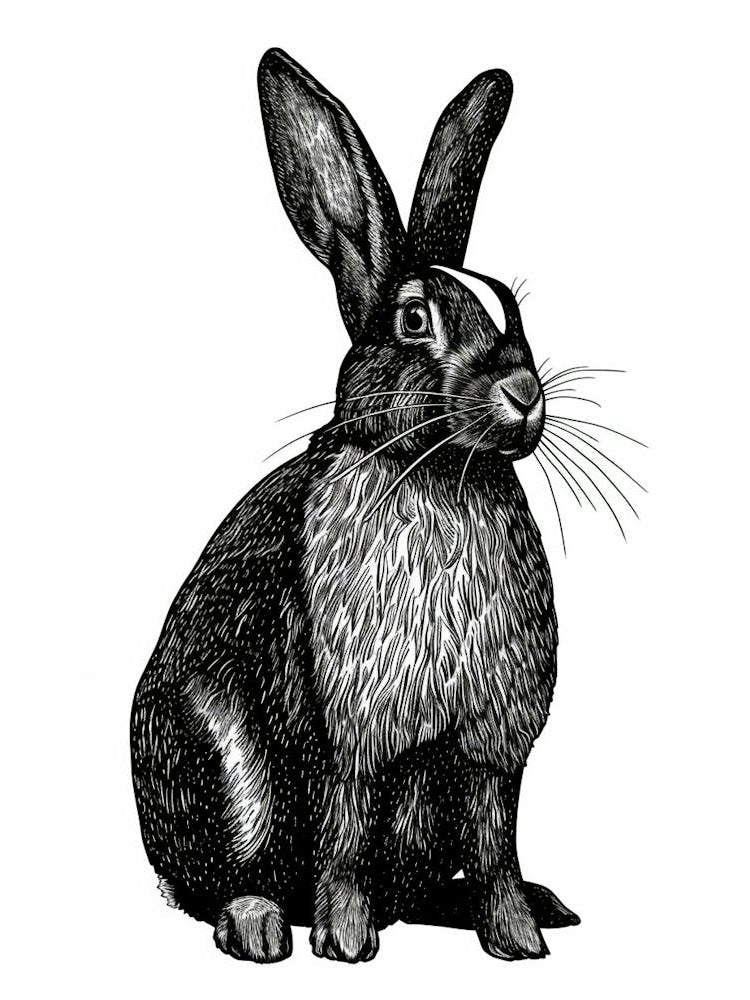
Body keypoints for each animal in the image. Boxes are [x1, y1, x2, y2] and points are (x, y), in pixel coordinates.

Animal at [131, 47, 581, 964]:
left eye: (514, 311)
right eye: (413, 321)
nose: (524, 393)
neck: (435, 471)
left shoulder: (492, 750)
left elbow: (496, 841)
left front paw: (518, 941)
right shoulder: (343, 736)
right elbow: (342, 832)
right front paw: (345, 943)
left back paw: (538, 905)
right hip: (216, 767)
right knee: (217, 880)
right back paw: (261, 925)